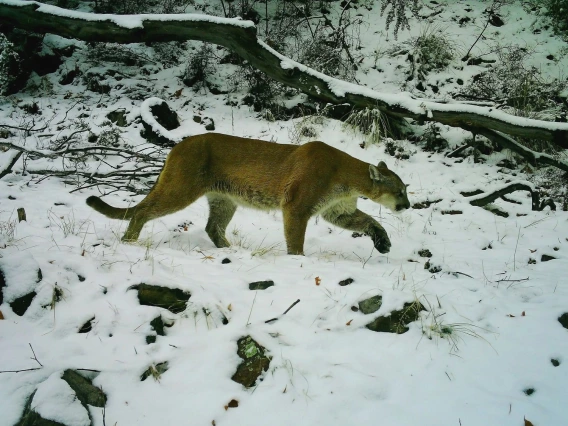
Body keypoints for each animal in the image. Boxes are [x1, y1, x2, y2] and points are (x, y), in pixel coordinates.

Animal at [86, 133, 408, 253]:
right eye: (400, 191)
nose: (407, 205)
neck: (350, 178)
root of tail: (178, 144)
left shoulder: (337, 210)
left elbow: (369, 221)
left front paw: (383, 242)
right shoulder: (296, 206)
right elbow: (295, 239)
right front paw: (298, 260)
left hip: (223, 199)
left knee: (212, 226)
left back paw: (229, 250)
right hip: (181, 188)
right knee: (142, 209)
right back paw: (129, 241)